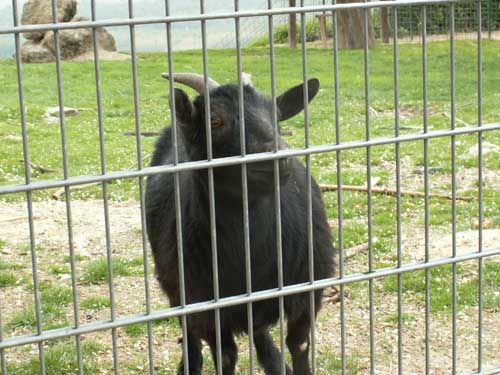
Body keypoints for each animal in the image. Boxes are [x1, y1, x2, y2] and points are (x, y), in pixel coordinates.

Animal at [146, 73, 336, 375]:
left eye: (276, 116)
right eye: (215, 120)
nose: (279, 157)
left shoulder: (308, 287)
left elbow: (299, 343)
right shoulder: (205, 303)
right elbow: (225, 356)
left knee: (257, 327)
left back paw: (274, 361)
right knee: (188, 329)